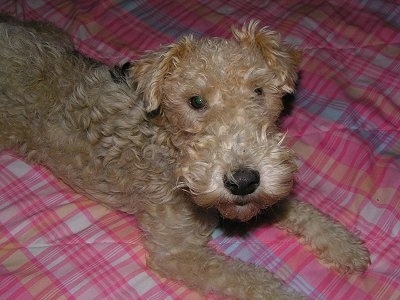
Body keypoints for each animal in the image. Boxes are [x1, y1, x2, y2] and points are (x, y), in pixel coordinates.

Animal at [0, 17, 370, 300]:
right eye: (195, 101)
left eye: (259, 91)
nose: (243, 181)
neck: (167, 143)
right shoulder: (178, 251)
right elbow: (249, 279)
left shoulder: (265, 193)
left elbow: (297, 208)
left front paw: (344, 245)